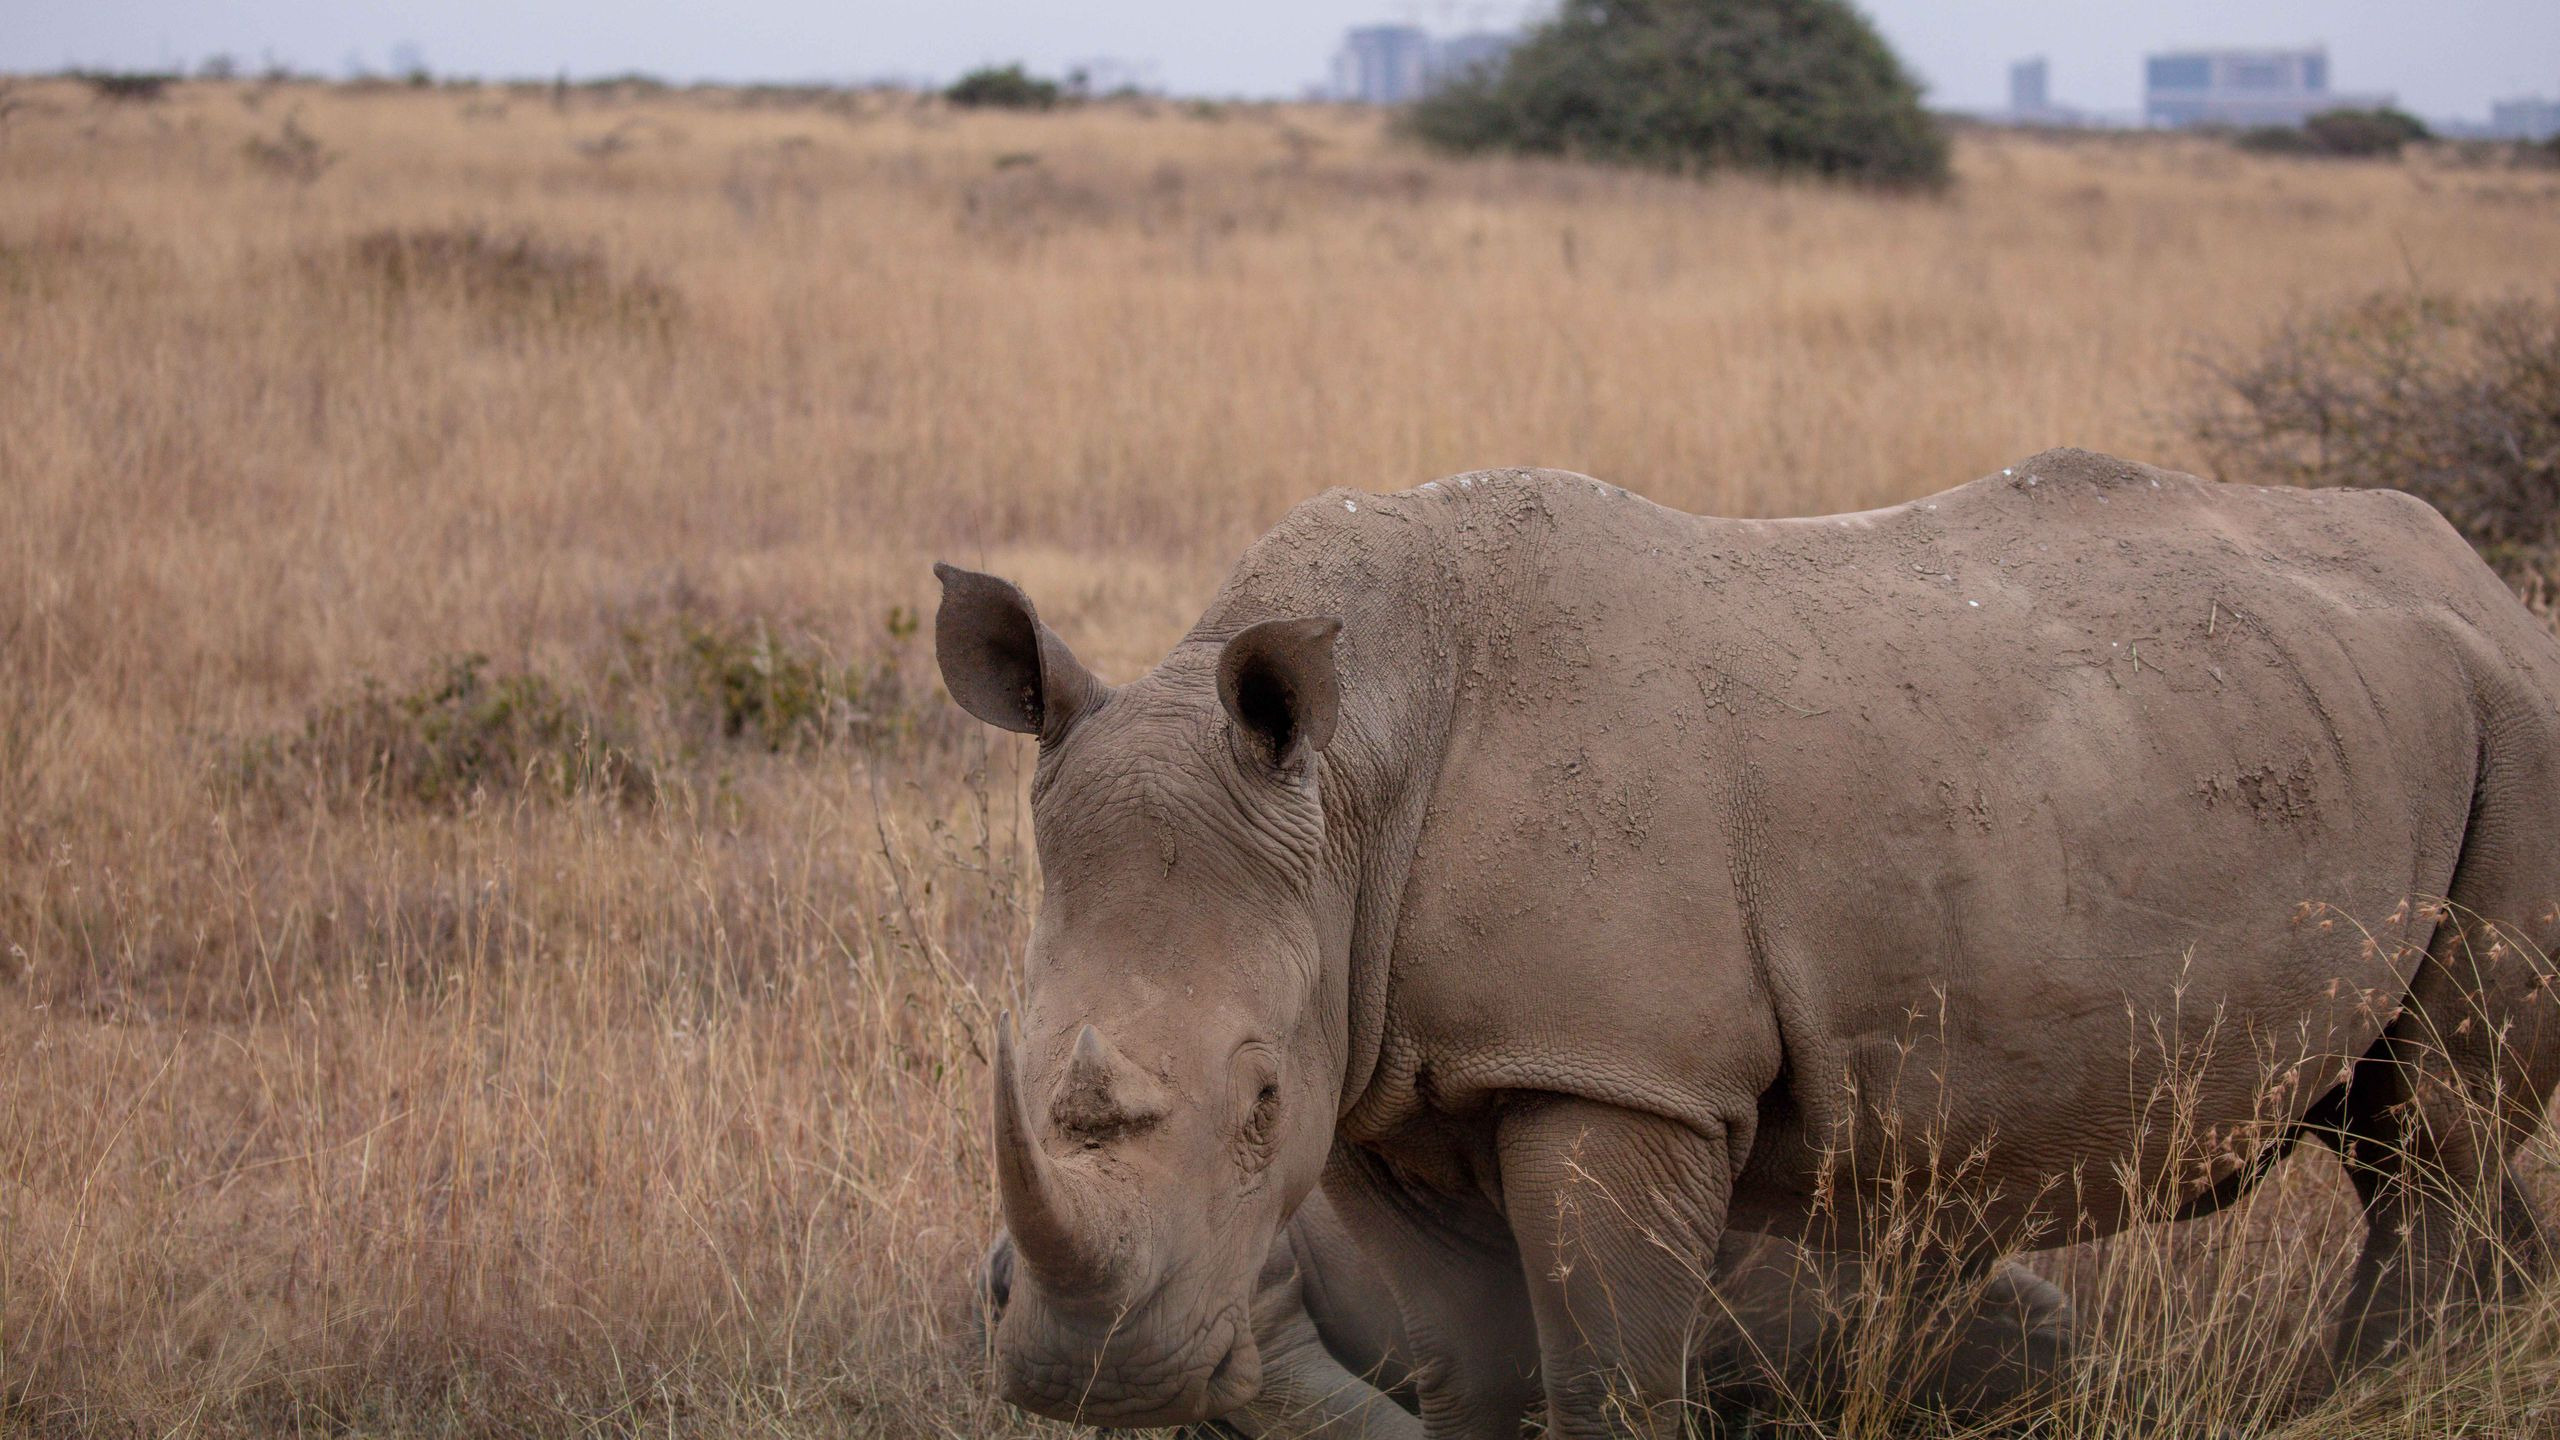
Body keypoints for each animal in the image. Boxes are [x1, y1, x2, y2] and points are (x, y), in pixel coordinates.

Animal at [936, 448, 2560, 1437]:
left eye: (1262, 1100)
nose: (1092, 1378)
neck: (1348, 793)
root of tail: (2490, 585)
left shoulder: (1622, 1070)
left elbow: (1606, 1375)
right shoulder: (1397, 1058)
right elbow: (1475, 1364)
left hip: (2516, 728)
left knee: (2431, 1133)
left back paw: (2360, 1403)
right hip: (2351, 722)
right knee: (2409, 1131)